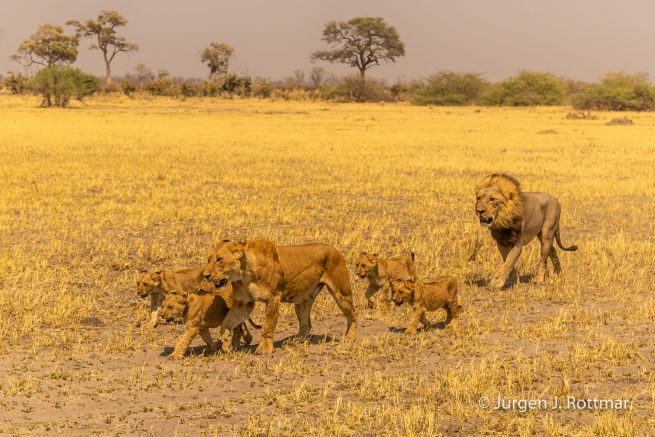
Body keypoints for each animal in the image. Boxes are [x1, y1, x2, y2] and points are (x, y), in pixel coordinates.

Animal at [202, 240, 357, 354]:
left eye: (219, 259)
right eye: (209, 260)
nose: (205, 275)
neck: (244, 274)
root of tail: (333, 248)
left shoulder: (273, 298)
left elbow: (267, 326)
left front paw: (264, 349)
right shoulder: (244, 303)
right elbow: (227, 322)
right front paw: (226, 343)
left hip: (341, 293)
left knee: (353, 314)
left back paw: (349, 338)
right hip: (302, 301)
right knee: (306, 324)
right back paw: (296, 341)